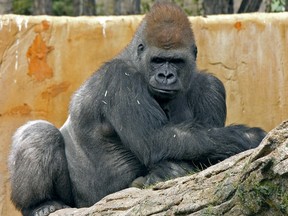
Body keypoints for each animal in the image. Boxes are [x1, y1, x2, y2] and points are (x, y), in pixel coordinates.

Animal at [8, 2, 266, 216]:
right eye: (157, 60)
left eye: (176, 61)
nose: (165, 76)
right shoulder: (121, 78)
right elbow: (155, 139)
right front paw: (249, 137)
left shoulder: (211, 87)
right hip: (84, 202)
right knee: (39, 133)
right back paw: (40, 204)